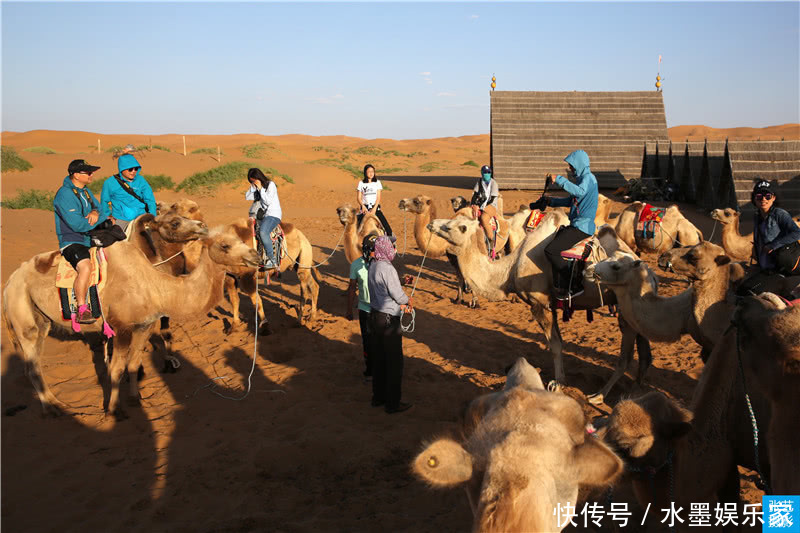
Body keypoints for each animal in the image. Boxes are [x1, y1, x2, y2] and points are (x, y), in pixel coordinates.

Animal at [2, 233, 260, 420]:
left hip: (41, 319)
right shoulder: (122, 328)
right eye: (225, 245)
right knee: (33, 365)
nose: (256, 256)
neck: (156, 287)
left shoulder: (143, 326)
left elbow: (134, 364)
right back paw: (52, 408)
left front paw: (137, 399)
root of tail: (8, 283)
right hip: (22, 312)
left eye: (241, 240)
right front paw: (114, 410)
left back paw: (56, 404)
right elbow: (116, 370)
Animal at [424, 212, 648, 390]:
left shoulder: (539, 304)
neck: (509, 271)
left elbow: (555, 345)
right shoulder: (552, 306)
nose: (432, 223)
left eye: (450, 227)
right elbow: (557, 342)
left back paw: (601, 395)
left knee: (627, 356)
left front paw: (558, 383)